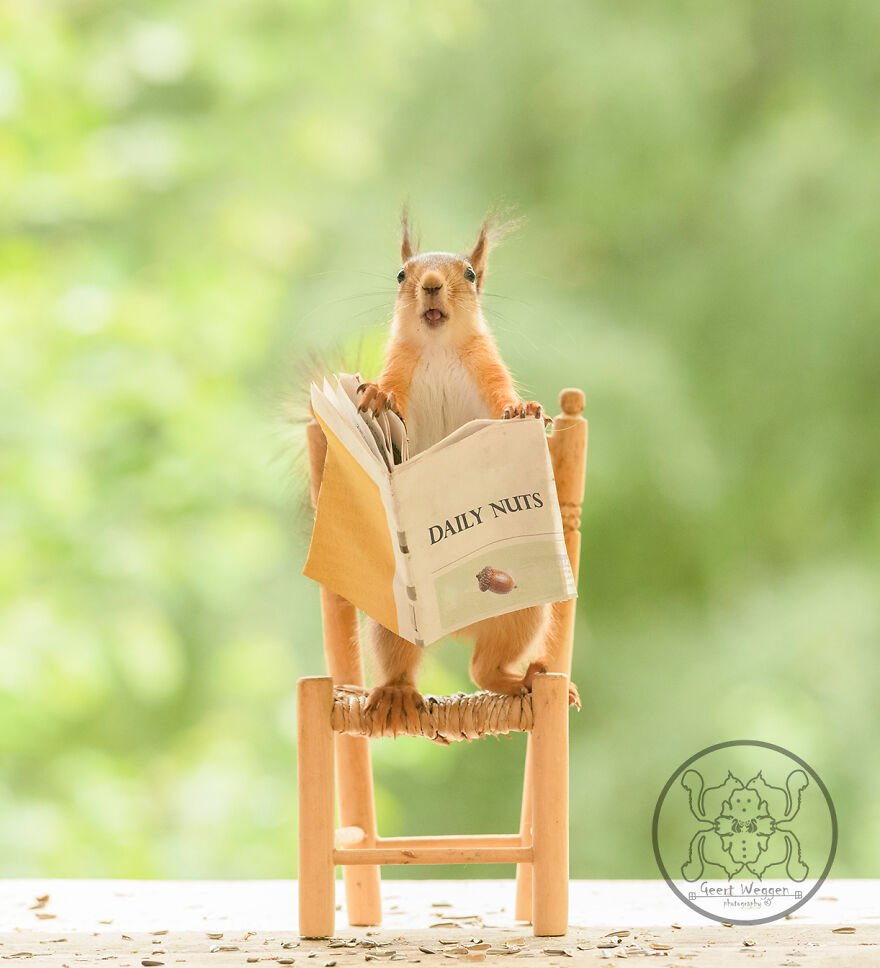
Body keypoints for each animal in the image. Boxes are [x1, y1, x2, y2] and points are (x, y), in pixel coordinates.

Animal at [355, 210, 578, 733]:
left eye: (471, 275)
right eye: (402, 275)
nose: (432, 285)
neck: (438, 347)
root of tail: (455, 629)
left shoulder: (487, 367)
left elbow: (501, 402)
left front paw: (524, 412)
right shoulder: (399, 365)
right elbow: (389, 393)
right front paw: (374, 395)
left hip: (524, 612)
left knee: (484, 668)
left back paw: (520, 679)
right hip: (396, 616)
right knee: (402, 661)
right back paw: (395, 692)